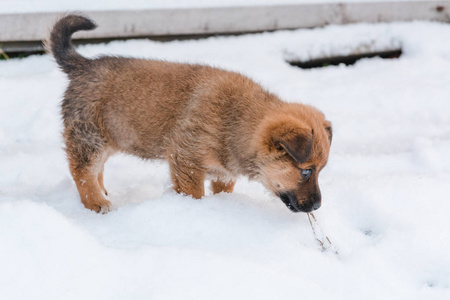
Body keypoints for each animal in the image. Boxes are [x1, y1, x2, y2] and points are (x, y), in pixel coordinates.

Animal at [47, 14, 332, 213]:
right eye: (306, 172)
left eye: (320, 171)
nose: (318, 206)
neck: (236, 121)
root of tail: (83, 66)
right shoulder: (186, 160)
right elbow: (194, 193)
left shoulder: (223, 171)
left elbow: (223, 190)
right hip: (89, 137)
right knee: (82, 172)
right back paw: (95, 202)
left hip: (108, 136)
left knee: (97, 169)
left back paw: (103, 192)